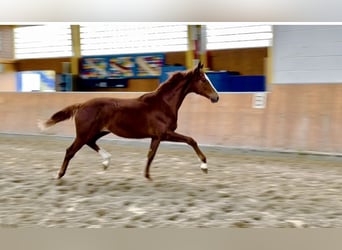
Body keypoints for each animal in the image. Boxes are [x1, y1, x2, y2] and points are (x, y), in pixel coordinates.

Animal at [38, 62, 219, 180]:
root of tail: (81, 105)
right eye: (203, 80)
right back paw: (59, 175)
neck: (163, 104)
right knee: (70, 151)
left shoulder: (156, 137)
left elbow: (151, 155)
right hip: (84, 134)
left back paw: (106, 161)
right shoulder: (165, 133)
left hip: (99, 131)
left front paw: (147, 177)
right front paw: (204, 166)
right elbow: (191, 140)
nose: (216, 97)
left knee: (91, 142)